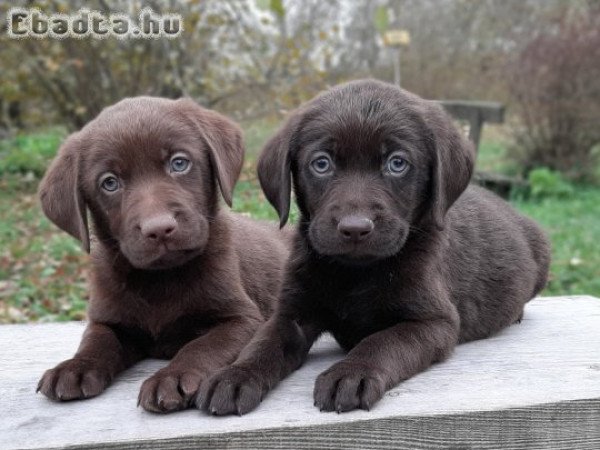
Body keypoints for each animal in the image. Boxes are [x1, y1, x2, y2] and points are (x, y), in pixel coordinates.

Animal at [37, 96, 290, 414]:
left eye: (179, 163)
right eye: (110, 182)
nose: (158, 229)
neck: (160, 279)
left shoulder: (242, 319)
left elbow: (201, 346)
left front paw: (172, 377)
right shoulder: (108, 319)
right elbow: (96, 340)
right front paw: (75, 367)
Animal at [198, 78, 552, 414]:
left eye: (396, 163)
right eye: (321, 164)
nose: (355, 228)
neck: (356, 272)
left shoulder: (433, 322)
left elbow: (383, 341)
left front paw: (351, 373)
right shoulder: (291, 313)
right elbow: (263, 344)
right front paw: (235, 376)